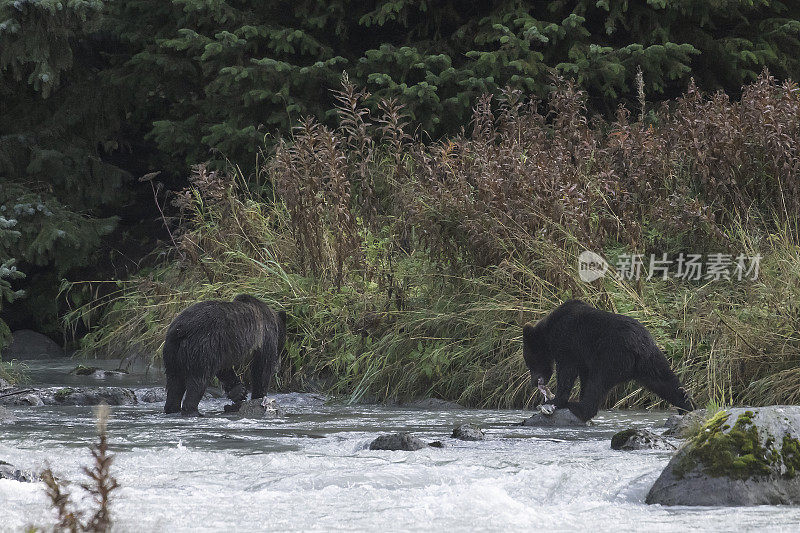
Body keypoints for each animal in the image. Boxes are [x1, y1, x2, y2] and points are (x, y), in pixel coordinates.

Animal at [524, 300, 692, 420]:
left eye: (530, 362)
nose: (533, 382)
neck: (549, 332)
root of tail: (637, 345)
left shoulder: (568, 343)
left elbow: (567, 372)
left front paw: (554, 400)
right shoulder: (584, 357)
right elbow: (583, 375)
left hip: (611, 357)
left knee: (598, 382)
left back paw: (579, 407)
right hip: (650, 358)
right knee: (664, 381)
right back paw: (687, 407)